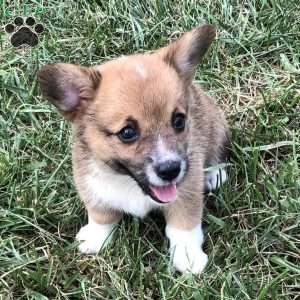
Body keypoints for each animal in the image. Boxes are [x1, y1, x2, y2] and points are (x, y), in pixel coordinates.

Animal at [38, 25, 229, 274]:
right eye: (127, 132)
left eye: (179, 121)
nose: (171, 170)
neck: (130, 183)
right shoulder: (92, 187)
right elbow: (101, 215)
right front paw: (95, 238)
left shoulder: (187, 191)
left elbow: (184, 226)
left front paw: (188, 256)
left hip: (215, 125)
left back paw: (214, 175)